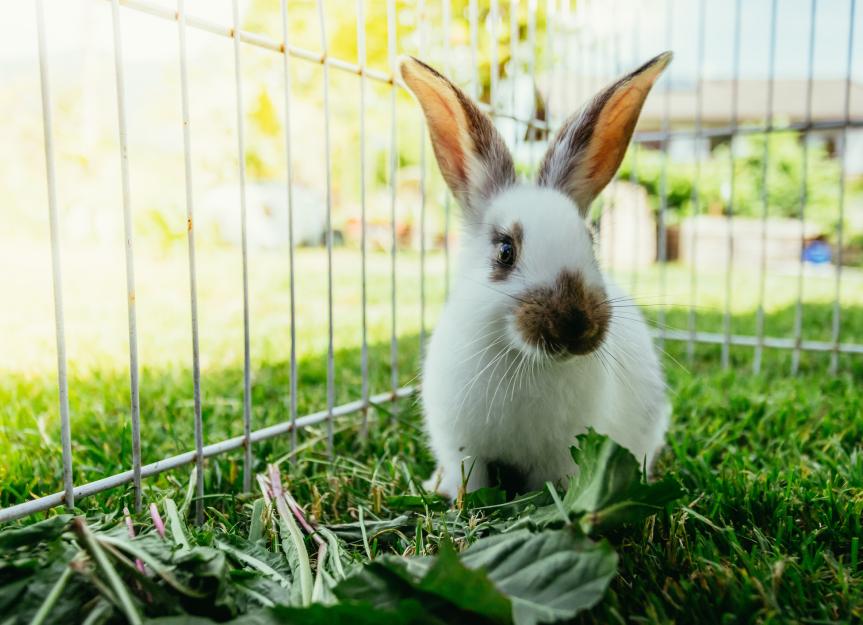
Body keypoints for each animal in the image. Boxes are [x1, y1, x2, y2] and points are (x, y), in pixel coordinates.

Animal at [399, 52, 674, 499]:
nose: (575, 325)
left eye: (591, 241)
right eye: (505, 251)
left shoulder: (561, 456)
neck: (524, 361)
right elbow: (469, 480)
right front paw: (458, 498)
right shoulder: (462, 447)